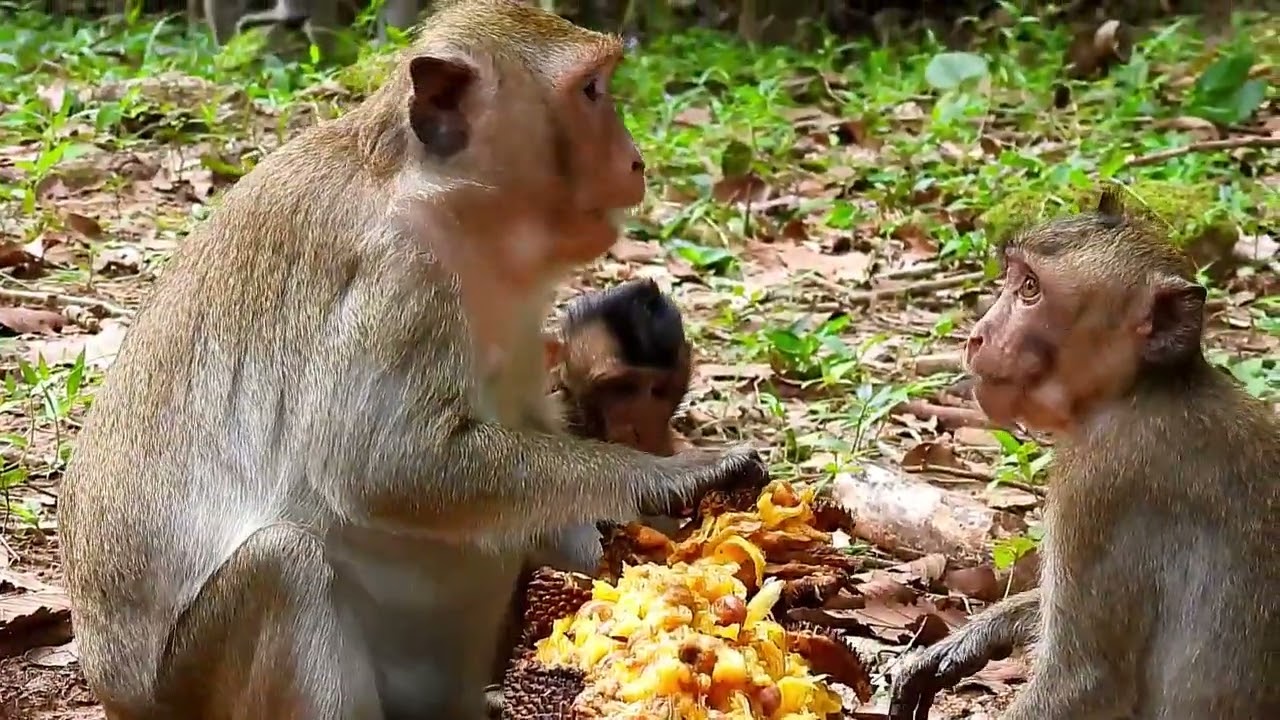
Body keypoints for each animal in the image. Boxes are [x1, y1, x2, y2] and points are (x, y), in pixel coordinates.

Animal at [58, 3, 769, 720]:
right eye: (592, 90)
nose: (635, 160)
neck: (441, 199)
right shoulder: (399, 275)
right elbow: (381, 465)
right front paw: (675, 478)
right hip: (193, 685)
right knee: (283, 564)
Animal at [889, 190, 1280, 720]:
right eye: (1015, 279)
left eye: (1030, 289)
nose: (977, 336)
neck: (1142, 389)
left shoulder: (1099, 483)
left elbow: (1084, 681)